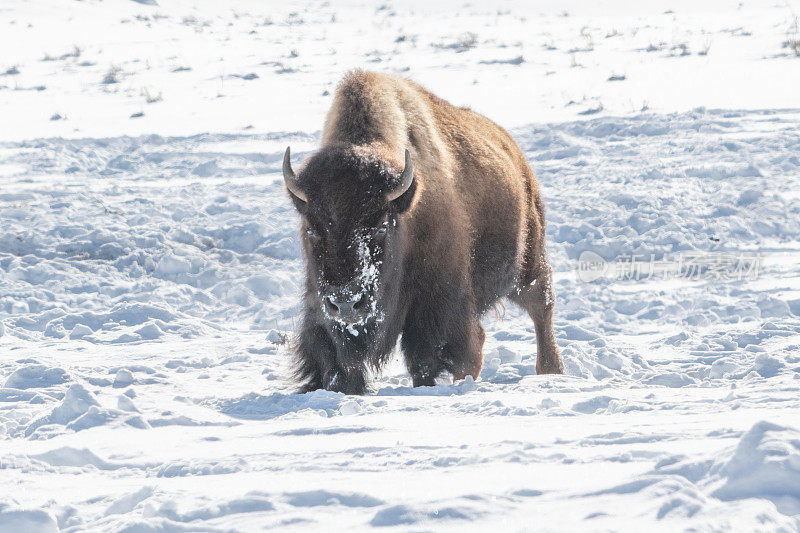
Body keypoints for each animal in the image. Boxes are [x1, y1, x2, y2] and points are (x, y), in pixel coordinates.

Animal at [282, 69, 564, 394]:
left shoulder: (436, 301)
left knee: (540, 306)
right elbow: (331, 356)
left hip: (527, 265)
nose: (346, 303)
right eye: (312, 229)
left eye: (381, 225)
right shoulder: (318, 306)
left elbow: (429, 356)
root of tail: (515, 153)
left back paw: (551, 371)